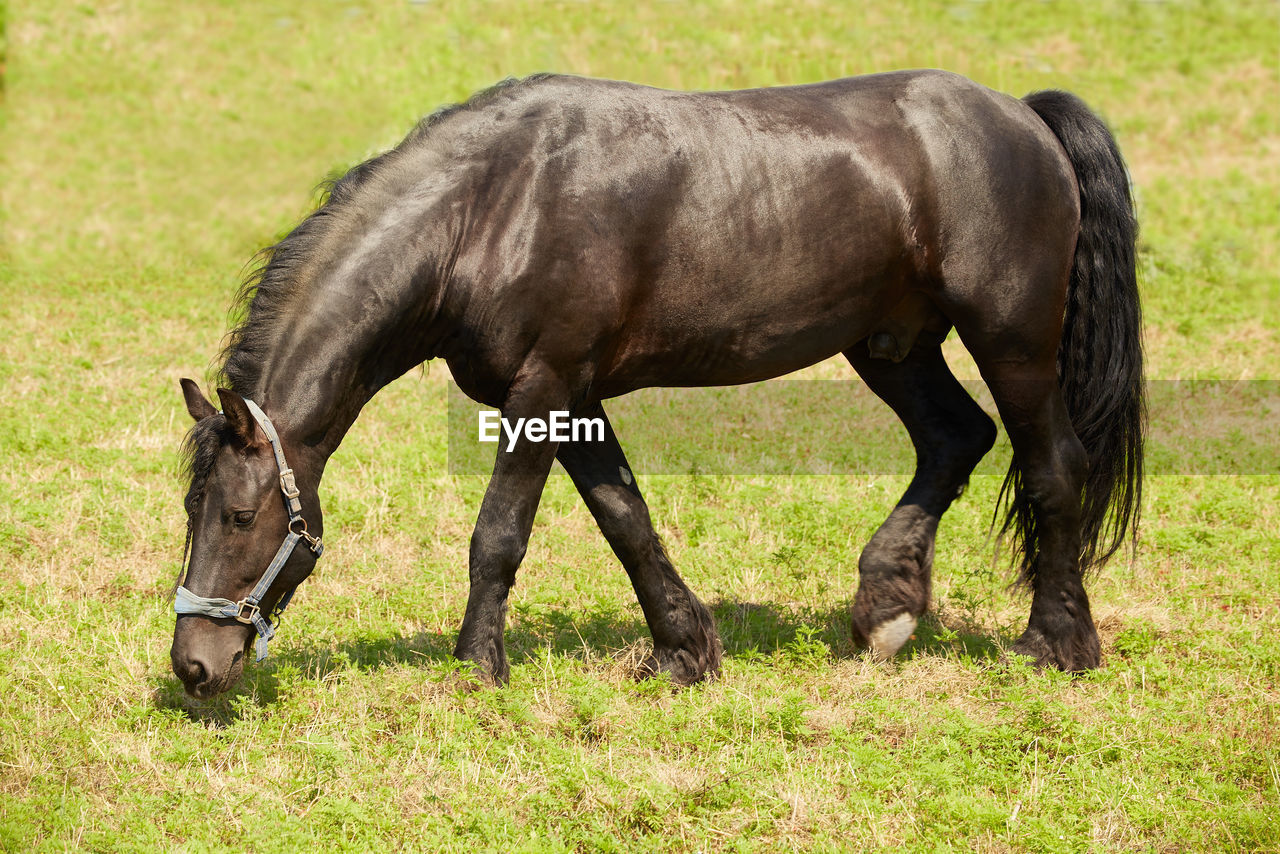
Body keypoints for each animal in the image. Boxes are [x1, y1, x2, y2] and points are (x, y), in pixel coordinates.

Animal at [167, 71, 1141, 701]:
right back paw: (886, 608)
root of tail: (1023, 117)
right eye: (193, 510)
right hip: (892, 346)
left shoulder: (543, 388)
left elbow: (499, 536)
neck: (487, 208)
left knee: (1052, 468)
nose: (193, 666)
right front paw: (684, 651)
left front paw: (477, 668)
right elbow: (625, 519)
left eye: (241, 516)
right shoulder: (572, 396)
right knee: (954, 438)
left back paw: (1056, 644)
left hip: (1011, 342)